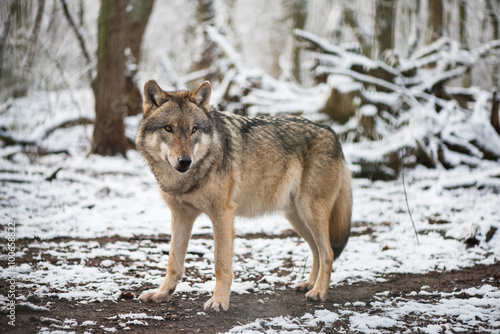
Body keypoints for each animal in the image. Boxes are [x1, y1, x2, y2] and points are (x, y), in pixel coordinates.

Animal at [134, 79, 352, 312]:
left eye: (194, 130)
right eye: (168, 128)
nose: (185, 161)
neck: (185, 179)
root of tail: (333, 133)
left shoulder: (223, 214)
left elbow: (221, 263)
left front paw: (219, 301)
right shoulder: (181, 215)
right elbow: (173, 263)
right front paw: (161, 294)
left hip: (310, 213)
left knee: (328, 253)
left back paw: (319, 292)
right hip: (297, 218)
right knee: (317, 251)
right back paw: (309, 284)